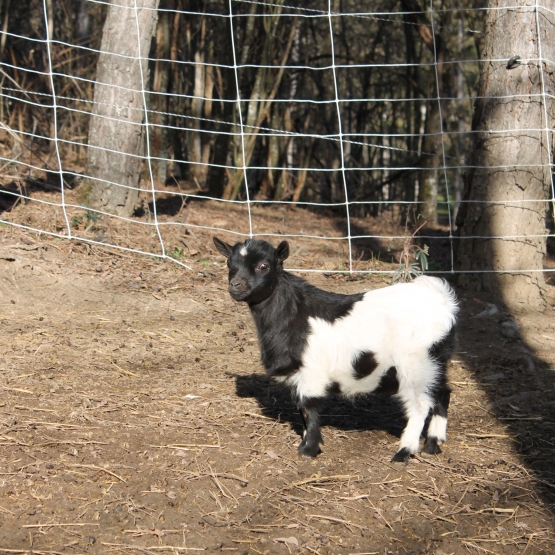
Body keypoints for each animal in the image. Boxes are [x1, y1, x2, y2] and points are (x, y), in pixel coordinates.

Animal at [215, 237, 458, 462]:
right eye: (229, 263)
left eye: (264, 266)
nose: (235, 285)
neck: (295, 314)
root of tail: (442, 299)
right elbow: (302, 411)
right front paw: (307, 442)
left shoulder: (311, 371)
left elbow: (309, 408)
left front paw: (309, 449)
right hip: (435, 361)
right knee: (442, 393)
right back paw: (433, 445)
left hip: (414, 363)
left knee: (420, 404)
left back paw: (404, 451)